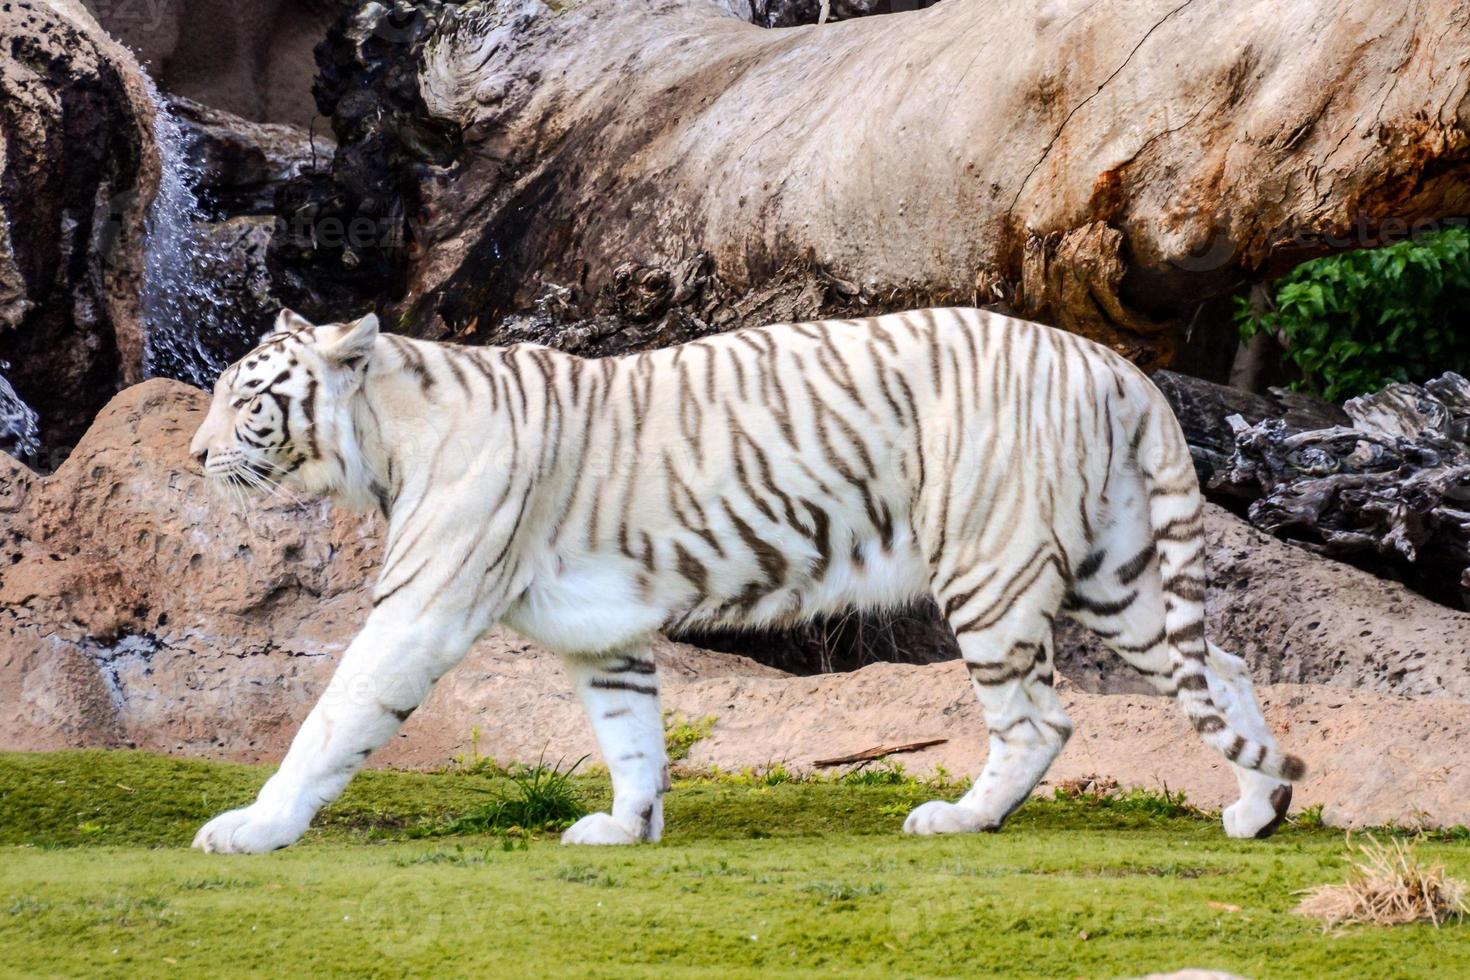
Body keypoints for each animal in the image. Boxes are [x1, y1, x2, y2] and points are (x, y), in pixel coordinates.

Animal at [189, 308, 1305, 852]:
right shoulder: (605, 632)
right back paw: (1260, 806)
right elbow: (631, 735)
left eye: (248, 399)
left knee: (1039, 719)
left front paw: (253, 828)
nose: (196, 457)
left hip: (988, 566)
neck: (385, 439)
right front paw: (626, 828)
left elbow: (332, 719)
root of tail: (1114, 364)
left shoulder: (421, 608)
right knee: (1224, 664)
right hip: (1119, 571)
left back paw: (959, 818)